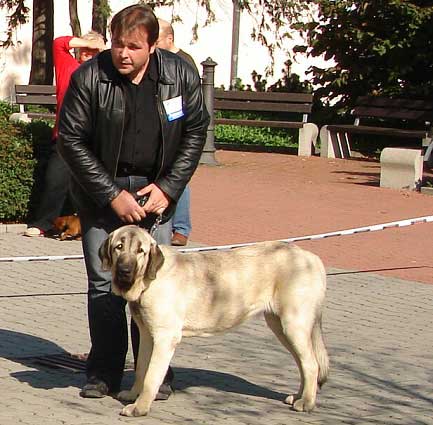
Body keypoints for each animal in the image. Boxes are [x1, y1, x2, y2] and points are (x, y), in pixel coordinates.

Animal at [98, 224, 328, 416]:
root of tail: (313, 259)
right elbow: (141, 369)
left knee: (310, 364)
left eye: (141, 251)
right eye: (119, 247)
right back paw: (298, 396)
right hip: (280, 326)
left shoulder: (164, 338)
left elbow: (151, 376)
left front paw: (140, 407)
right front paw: (133, 395)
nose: (124, 271)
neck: (149, 280)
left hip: (293, 324)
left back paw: (306, 402)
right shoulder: (147, 335)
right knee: (303, 362)